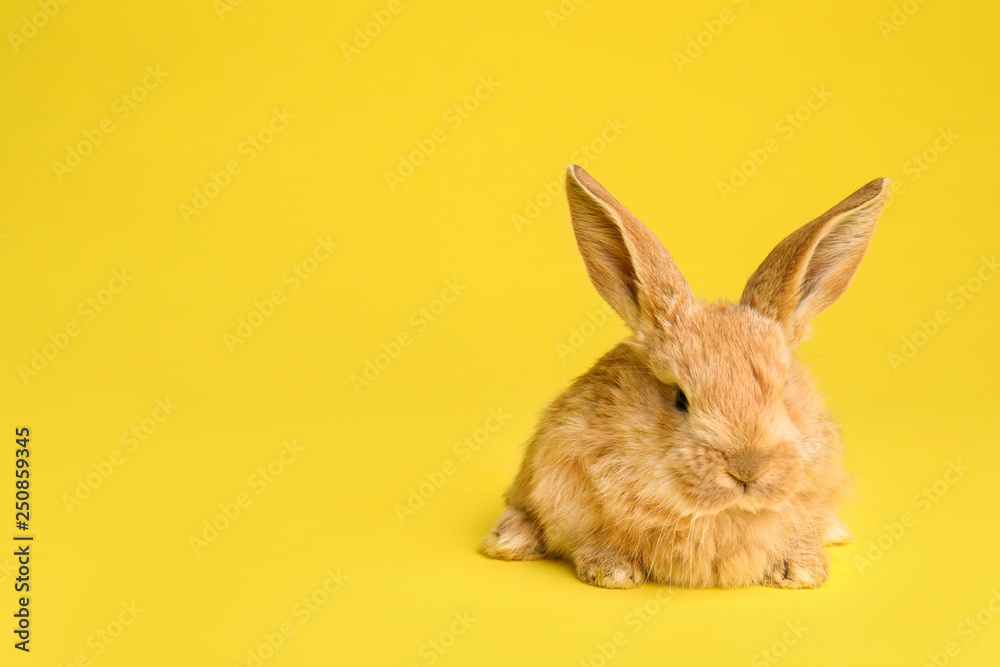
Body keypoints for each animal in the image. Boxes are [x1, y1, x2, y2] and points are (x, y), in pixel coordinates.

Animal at [480, 165, 888, 589]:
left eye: (783, 393)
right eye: (680, 398)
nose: (747, 469)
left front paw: (804, 572)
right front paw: (613, 572)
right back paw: (509, 540)